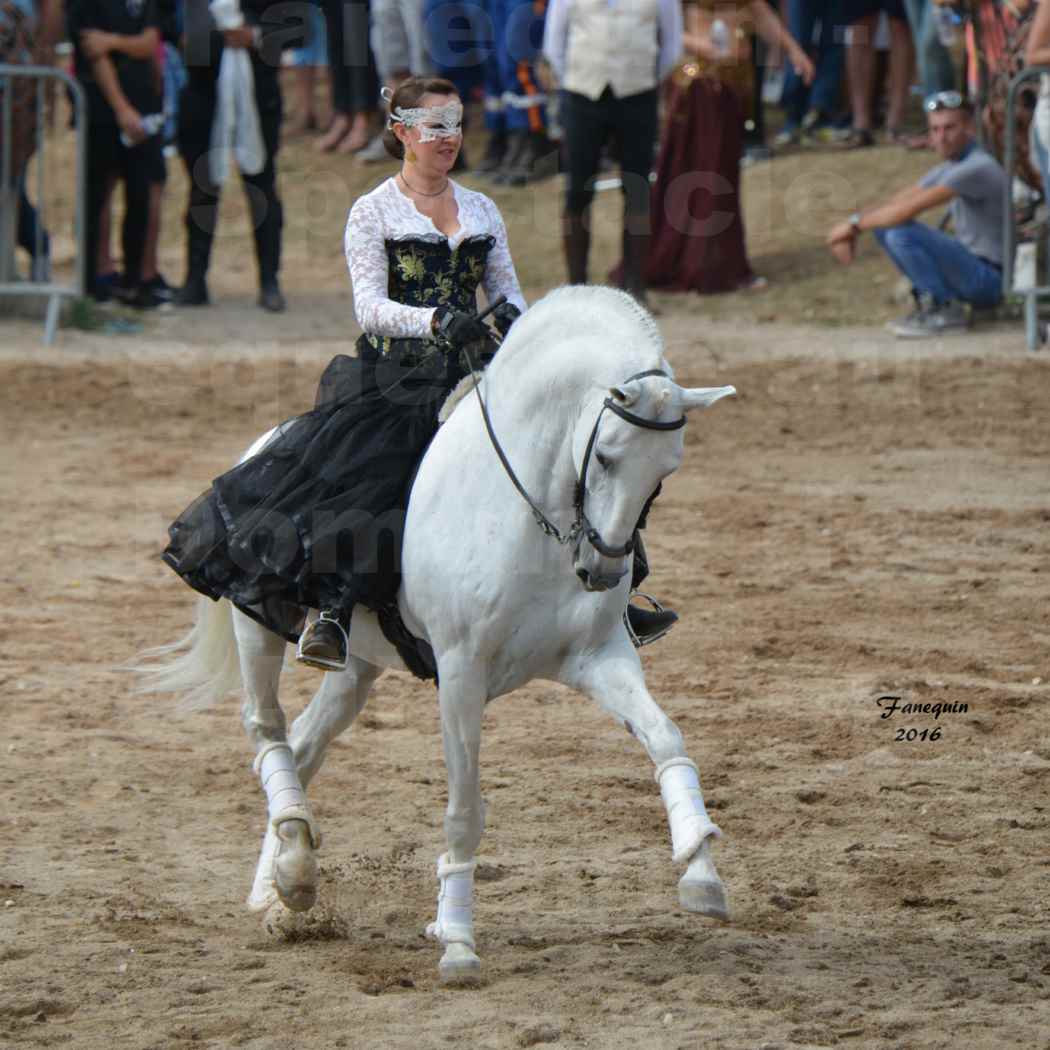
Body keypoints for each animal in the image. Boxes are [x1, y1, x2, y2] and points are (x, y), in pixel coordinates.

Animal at [141, 283, 739, 978]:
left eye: (665, 473)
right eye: (608, 458)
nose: (601, 570)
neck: (531, 512)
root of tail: (267, 443)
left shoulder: (599, 657)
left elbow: (666, 739)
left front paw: (701, 872)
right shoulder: (460, 671)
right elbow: (464, 810)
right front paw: (456, 940)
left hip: (358, 666)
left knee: (305, 742)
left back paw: (284, 884)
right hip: (257, 626)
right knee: (266, 730)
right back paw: (289, 866)